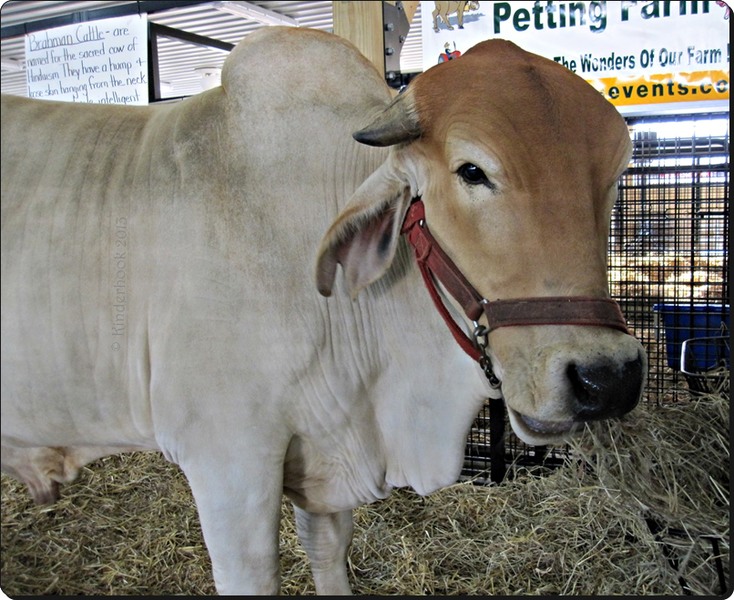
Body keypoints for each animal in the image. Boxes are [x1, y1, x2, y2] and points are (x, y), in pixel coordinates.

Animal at [1, 26, 646, 595]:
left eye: (617, 176)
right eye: (472, 171)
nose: (607, 377)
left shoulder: (326, 456)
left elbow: (329, 553)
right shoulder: (228, 461)